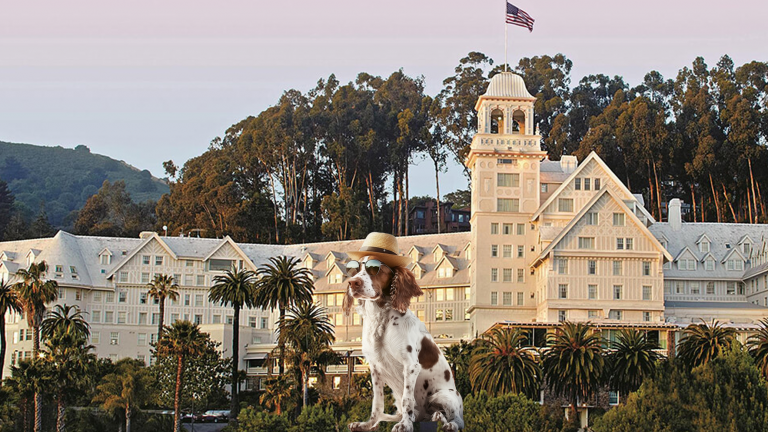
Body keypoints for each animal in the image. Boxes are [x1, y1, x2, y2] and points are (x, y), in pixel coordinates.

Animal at [344, 233, 464, 432]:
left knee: (456, 419)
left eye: (374, 268)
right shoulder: (375, 368)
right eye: (355, 269)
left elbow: (407, 399)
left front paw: (405, 425)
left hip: (442, 396)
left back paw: (447, 422)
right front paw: (368, 424)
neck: (381, 319)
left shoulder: (411, 365)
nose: (353, 283)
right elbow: (377, 403)